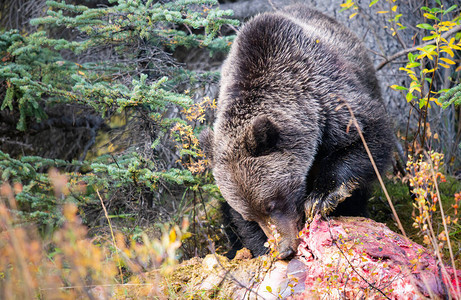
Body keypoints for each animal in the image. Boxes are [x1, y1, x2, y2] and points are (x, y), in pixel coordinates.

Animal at [201, 4, 392, 258]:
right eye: (251, 215)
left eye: (272, 204)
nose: (283, 251)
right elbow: (235, 217)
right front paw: (259, 246)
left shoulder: (330, 99)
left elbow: (367, 137)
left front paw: (321, 198)